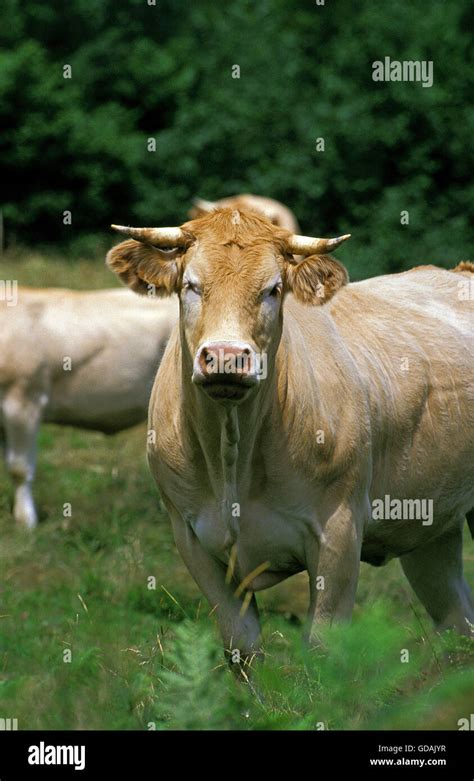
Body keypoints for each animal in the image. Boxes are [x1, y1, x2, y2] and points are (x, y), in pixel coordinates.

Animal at [107, 208, 474, 672]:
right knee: (458, 620)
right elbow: (242, 647)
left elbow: (321, 647)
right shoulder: (191, 538)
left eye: (273, 289)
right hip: (432, 526)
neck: (233, 459)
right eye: (191, 284)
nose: (227, 358)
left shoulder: (338, 531)